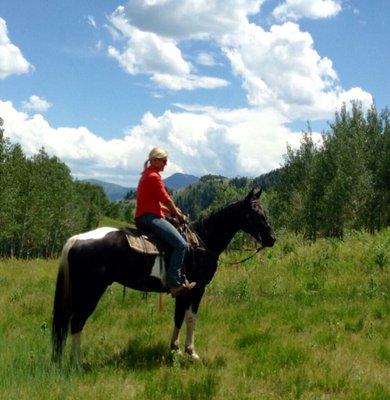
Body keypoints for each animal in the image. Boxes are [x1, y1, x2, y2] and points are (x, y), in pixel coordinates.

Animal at [51, 189, 276, 364]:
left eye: (264, 211)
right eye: (253, 214)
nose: (272, 239)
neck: (202, 242)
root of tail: (75, 239)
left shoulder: (183, 290)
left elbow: (178, 317)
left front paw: (174, 348)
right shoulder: (197, 289)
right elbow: (191, 318)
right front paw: (191, 352)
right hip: (90, 291)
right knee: (77, 322)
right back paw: (77, 363)